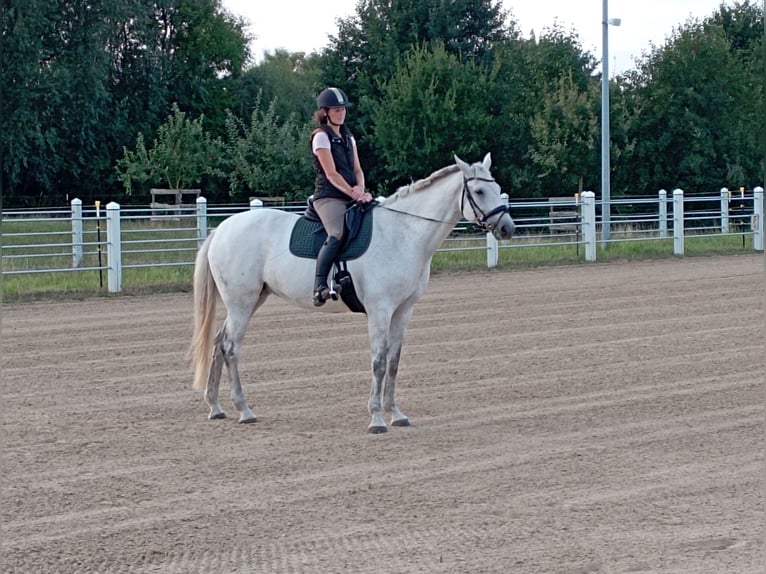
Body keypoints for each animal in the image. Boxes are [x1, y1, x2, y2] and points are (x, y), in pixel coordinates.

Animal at [189, 155, 520, 434]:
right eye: (479, 191)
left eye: (497, 189)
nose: (507, 228)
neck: (403, 233)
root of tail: (222, 229)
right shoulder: (380, 310)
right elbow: (378, 360)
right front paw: (376, 419)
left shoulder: (404, 310)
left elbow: (394, 361)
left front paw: (396, 414)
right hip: (242, 303)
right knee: (230, 347)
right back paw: (244, 410)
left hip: (252, 300)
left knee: (218, 342)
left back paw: (215, 407)